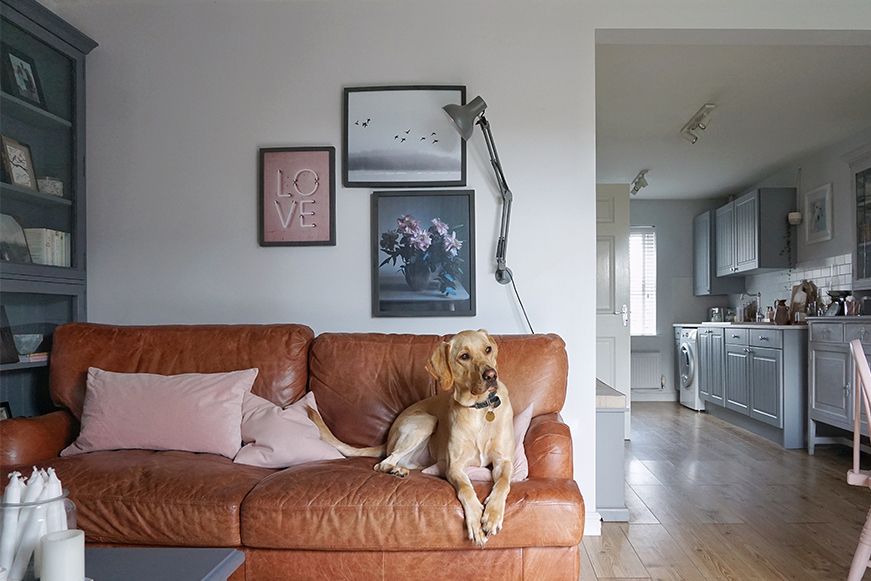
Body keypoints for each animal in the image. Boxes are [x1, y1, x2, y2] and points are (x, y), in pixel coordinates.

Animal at [308, 328, 516, 548]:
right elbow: (466, 488)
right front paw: (476, 520)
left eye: (488, 349)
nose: (491, 375)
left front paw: (492, 515)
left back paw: (398, 470)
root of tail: (389, 435)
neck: (480, 409)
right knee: (383, 462)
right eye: (464, 356)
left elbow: (503, 483)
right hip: (426, 421)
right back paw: (395, 469)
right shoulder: (455, 466)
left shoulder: (504, 461)